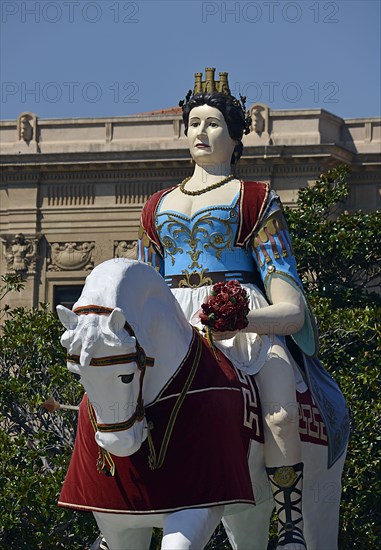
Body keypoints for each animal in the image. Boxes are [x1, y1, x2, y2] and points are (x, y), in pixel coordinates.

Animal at [58, 260, 346, 550]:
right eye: (77, 375)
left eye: (126, 375)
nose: (118, 443)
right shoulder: (118, 521)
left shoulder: (199, 504)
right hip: (249, 508)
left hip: (322, 489)